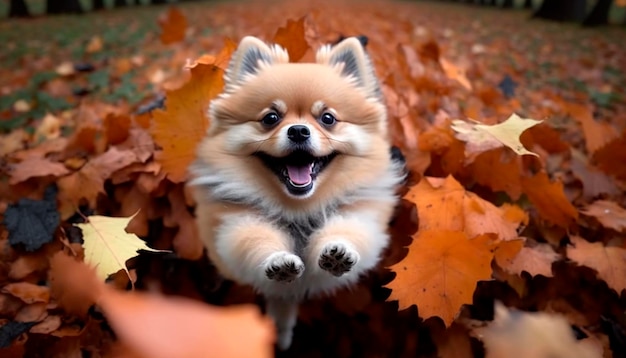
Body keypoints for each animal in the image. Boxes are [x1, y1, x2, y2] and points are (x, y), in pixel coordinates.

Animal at [189, 35, 404, 348]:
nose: (299, 130)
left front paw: (339, 252)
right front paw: (277, 261)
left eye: (328, 118)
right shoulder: (238, 224)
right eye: (270, 118)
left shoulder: (359, 216)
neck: (299, 208)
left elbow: (351, 234)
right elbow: (254, 243)